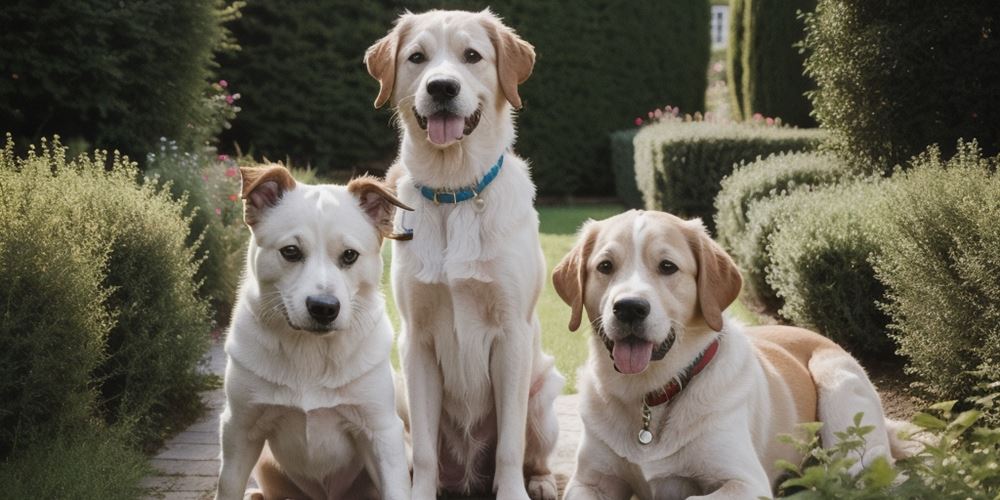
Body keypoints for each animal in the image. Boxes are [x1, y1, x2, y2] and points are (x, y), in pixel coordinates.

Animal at [215, 167, 410, 500]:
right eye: (291, 251)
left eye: (350, 255)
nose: (323, 308)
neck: (311, 352)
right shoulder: (239, 428)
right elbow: (228, 487)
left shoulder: (381, 431)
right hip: (265, 463)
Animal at [366, 7, 568, 500]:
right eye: (417, 57)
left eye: (472, 56)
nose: (442, 87)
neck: (454, 191)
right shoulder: (416, 340)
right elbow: (423, 450)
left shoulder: (512, 336)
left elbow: (510, 446)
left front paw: (514, 492)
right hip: (400, 394)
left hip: (543, 394)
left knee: (534, 452)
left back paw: (541, 483)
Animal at [552, 211, 912, 500]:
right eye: (605, 266)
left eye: (667, 267)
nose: (629, 307)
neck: (648, 396)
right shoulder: (589, 482)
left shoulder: (745, 481)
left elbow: (692, 497)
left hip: (839, 393)